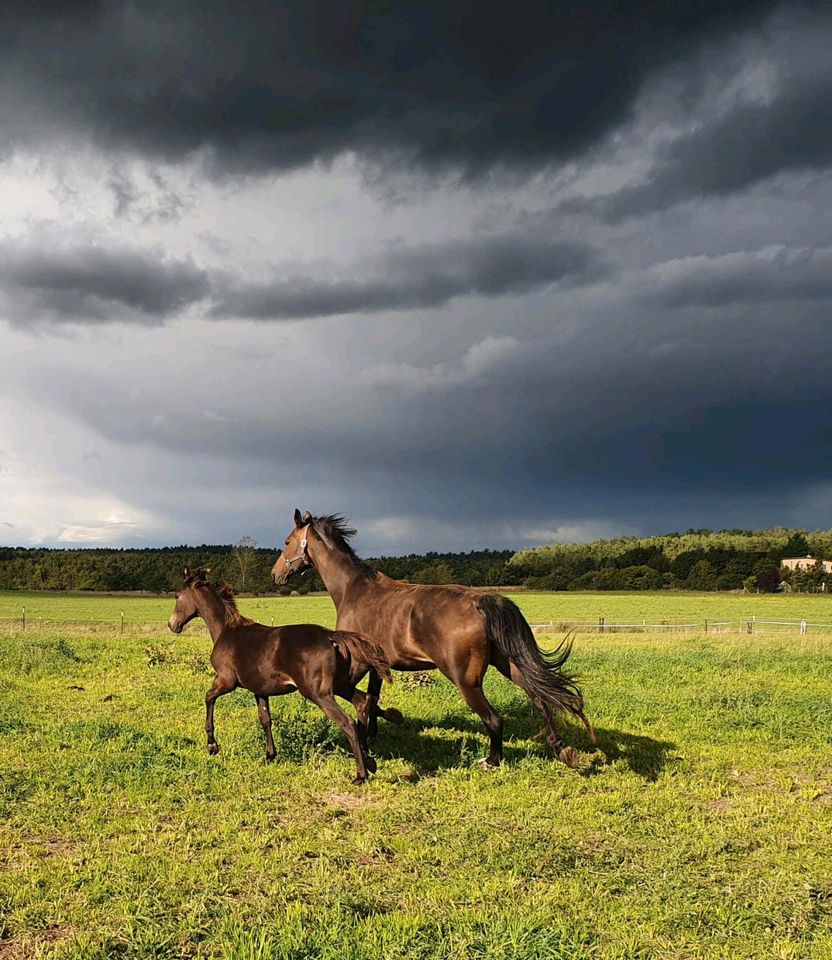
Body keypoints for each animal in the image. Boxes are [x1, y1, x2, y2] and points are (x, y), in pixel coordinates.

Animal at [169, 568, 394, 784]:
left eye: (178, 596)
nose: (173, 625)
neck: (226, 631)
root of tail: (331, 635)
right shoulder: (259, 690)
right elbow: (265, 719)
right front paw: (269, 755)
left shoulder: (226, 680)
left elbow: (208, 698)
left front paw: (212, 745)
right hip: (340, 685)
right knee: (363, 701)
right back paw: (369, 760)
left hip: (318, 693)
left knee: (347, 721)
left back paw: (360, 775)